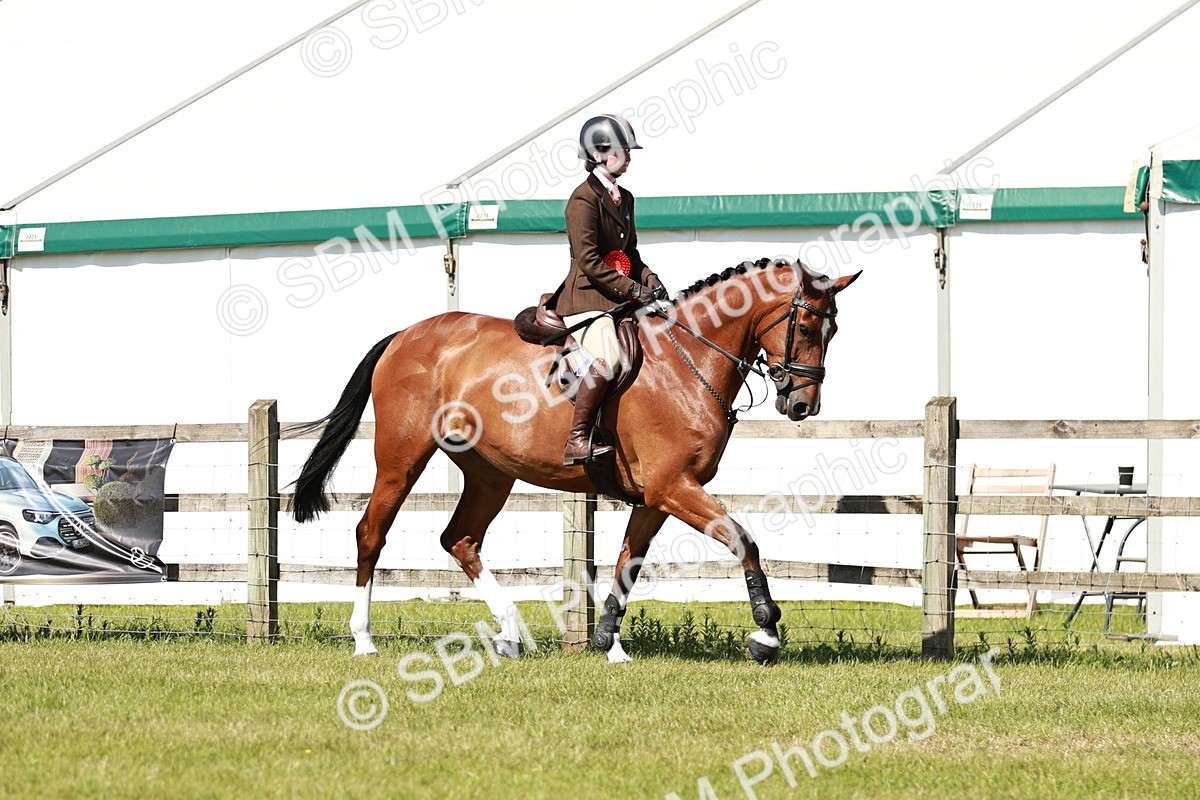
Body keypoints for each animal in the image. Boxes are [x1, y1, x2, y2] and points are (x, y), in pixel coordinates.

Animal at [291, 258, 860, 663]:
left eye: (832, 331)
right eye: (806, 325)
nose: (803, 406)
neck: (686, 361)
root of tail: (406, 335)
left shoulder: (656, 496)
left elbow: (627, 563)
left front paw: (609, 641)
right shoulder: (673, 486)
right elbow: (743, 539)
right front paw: (766, 633)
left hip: (490, 472)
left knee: (461, 539)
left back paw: (511, 633)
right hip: (402, 456)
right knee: (372, 532)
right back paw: (364, 640)